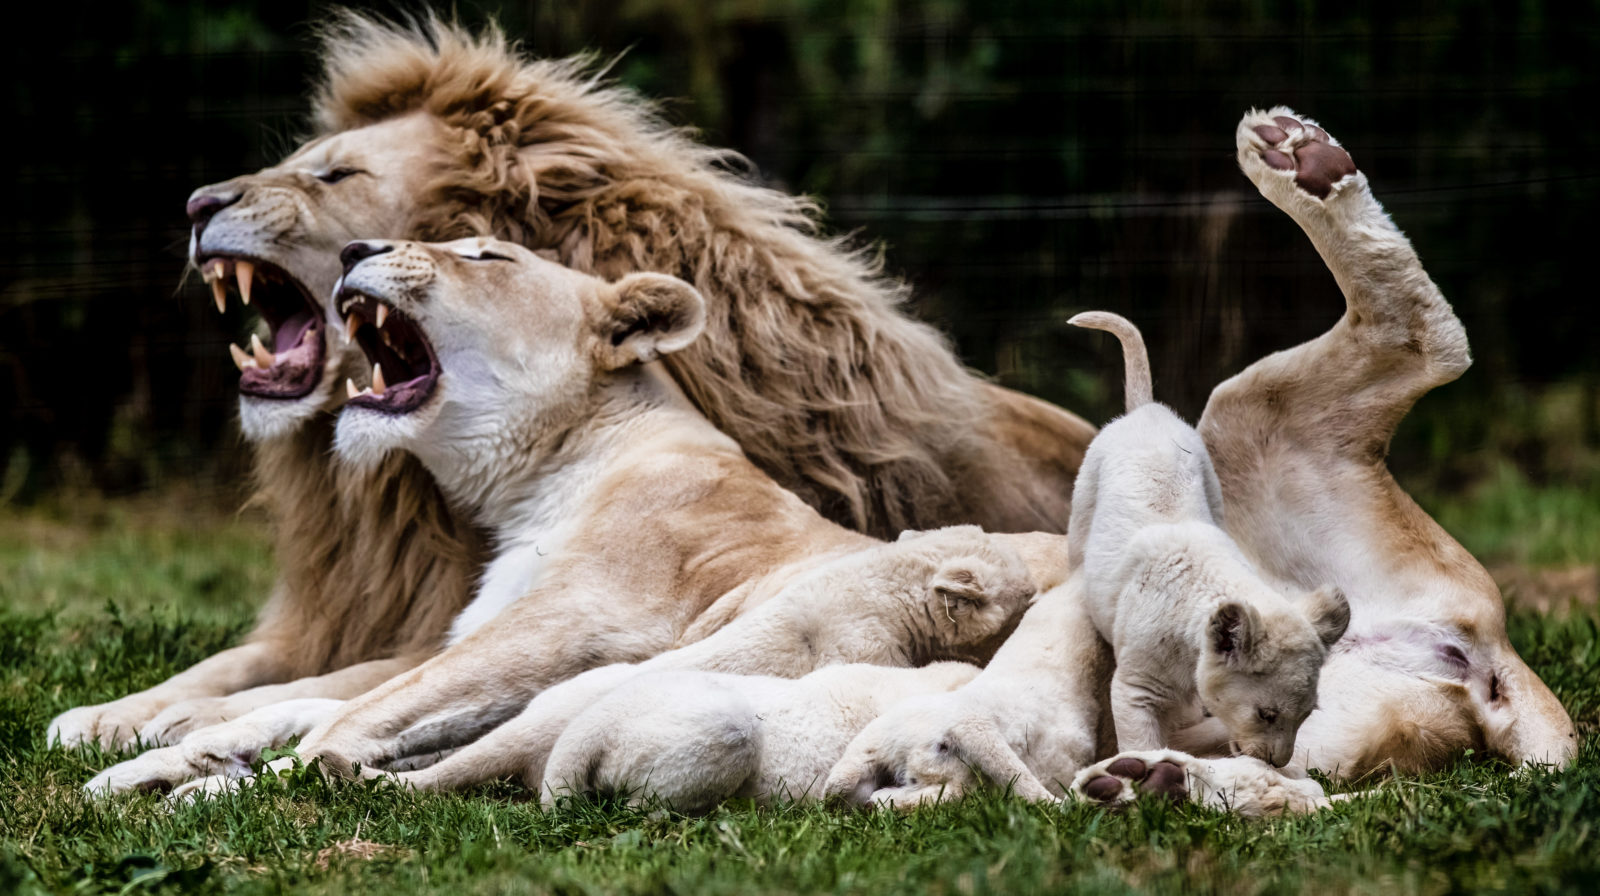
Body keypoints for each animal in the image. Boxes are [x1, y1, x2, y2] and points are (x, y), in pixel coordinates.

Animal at [53, 14, 1100, 752]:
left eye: (335, 173)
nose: (197, 202)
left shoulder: (477, 625)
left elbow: (328, 690)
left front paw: (170, 732)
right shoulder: (358, 614)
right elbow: (241, 664)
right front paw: (113, 714)